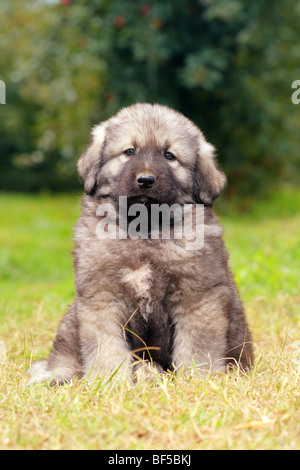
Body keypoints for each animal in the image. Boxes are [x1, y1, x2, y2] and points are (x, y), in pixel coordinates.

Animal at [27, 103, 253, 386]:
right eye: (129, 151)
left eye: (169, 155)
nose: (145, 180)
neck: (143, 230)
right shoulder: (101, 298)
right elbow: (105, 348)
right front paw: (110, 381)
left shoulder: (197, 297)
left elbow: (198, 348)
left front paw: (199, 379)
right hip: (73, 317)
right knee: (65, 355)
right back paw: (56, 375)